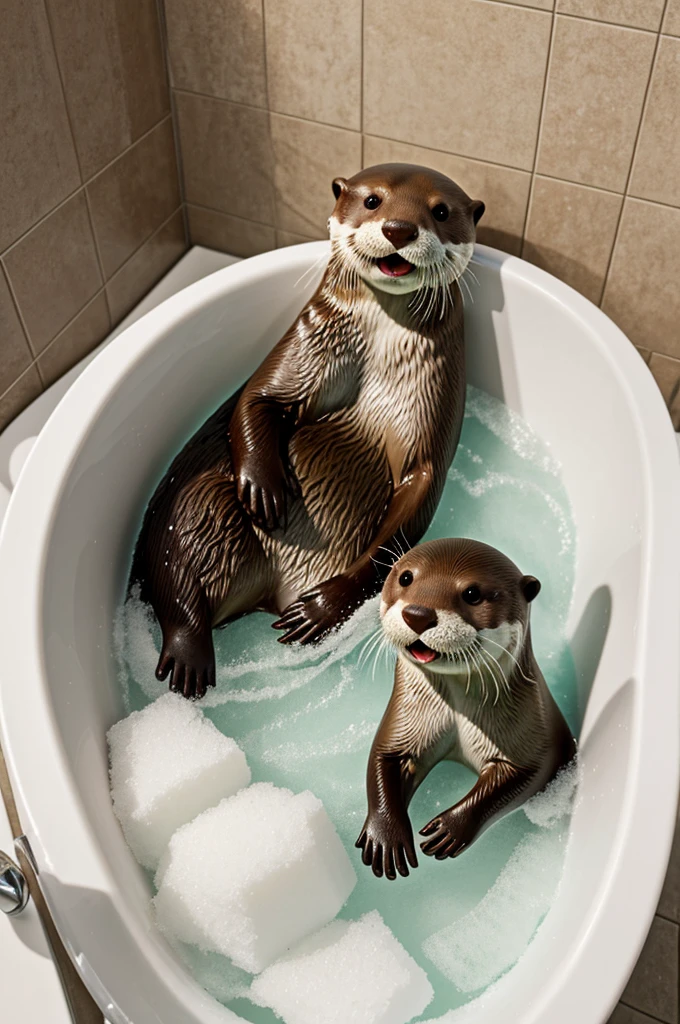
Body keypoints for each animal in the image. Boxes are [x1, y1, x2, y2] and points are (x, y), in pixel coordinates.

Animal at [131, 163, 483, 700]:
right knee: (181, 562)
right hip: (198, 507)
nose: (400, 228)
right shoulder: (308, 340)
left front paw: (323, 606)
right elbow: (258, 398)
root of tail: (274, 590)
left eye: (440, 211)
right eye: (373, 200)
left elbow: (417, 492)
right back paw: (188, 656)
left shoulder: (433, 408)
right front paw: (266, 487)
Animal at [356, 536, 573, 880]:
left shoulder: (532, 734)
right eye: (406, 577)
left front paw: (451, 827)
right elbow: (383, 758)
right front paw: (385, 834)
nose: (417, 614)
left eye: (472, 593)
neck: (456, 713)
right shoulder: (406, 720)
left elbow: (523, 776)